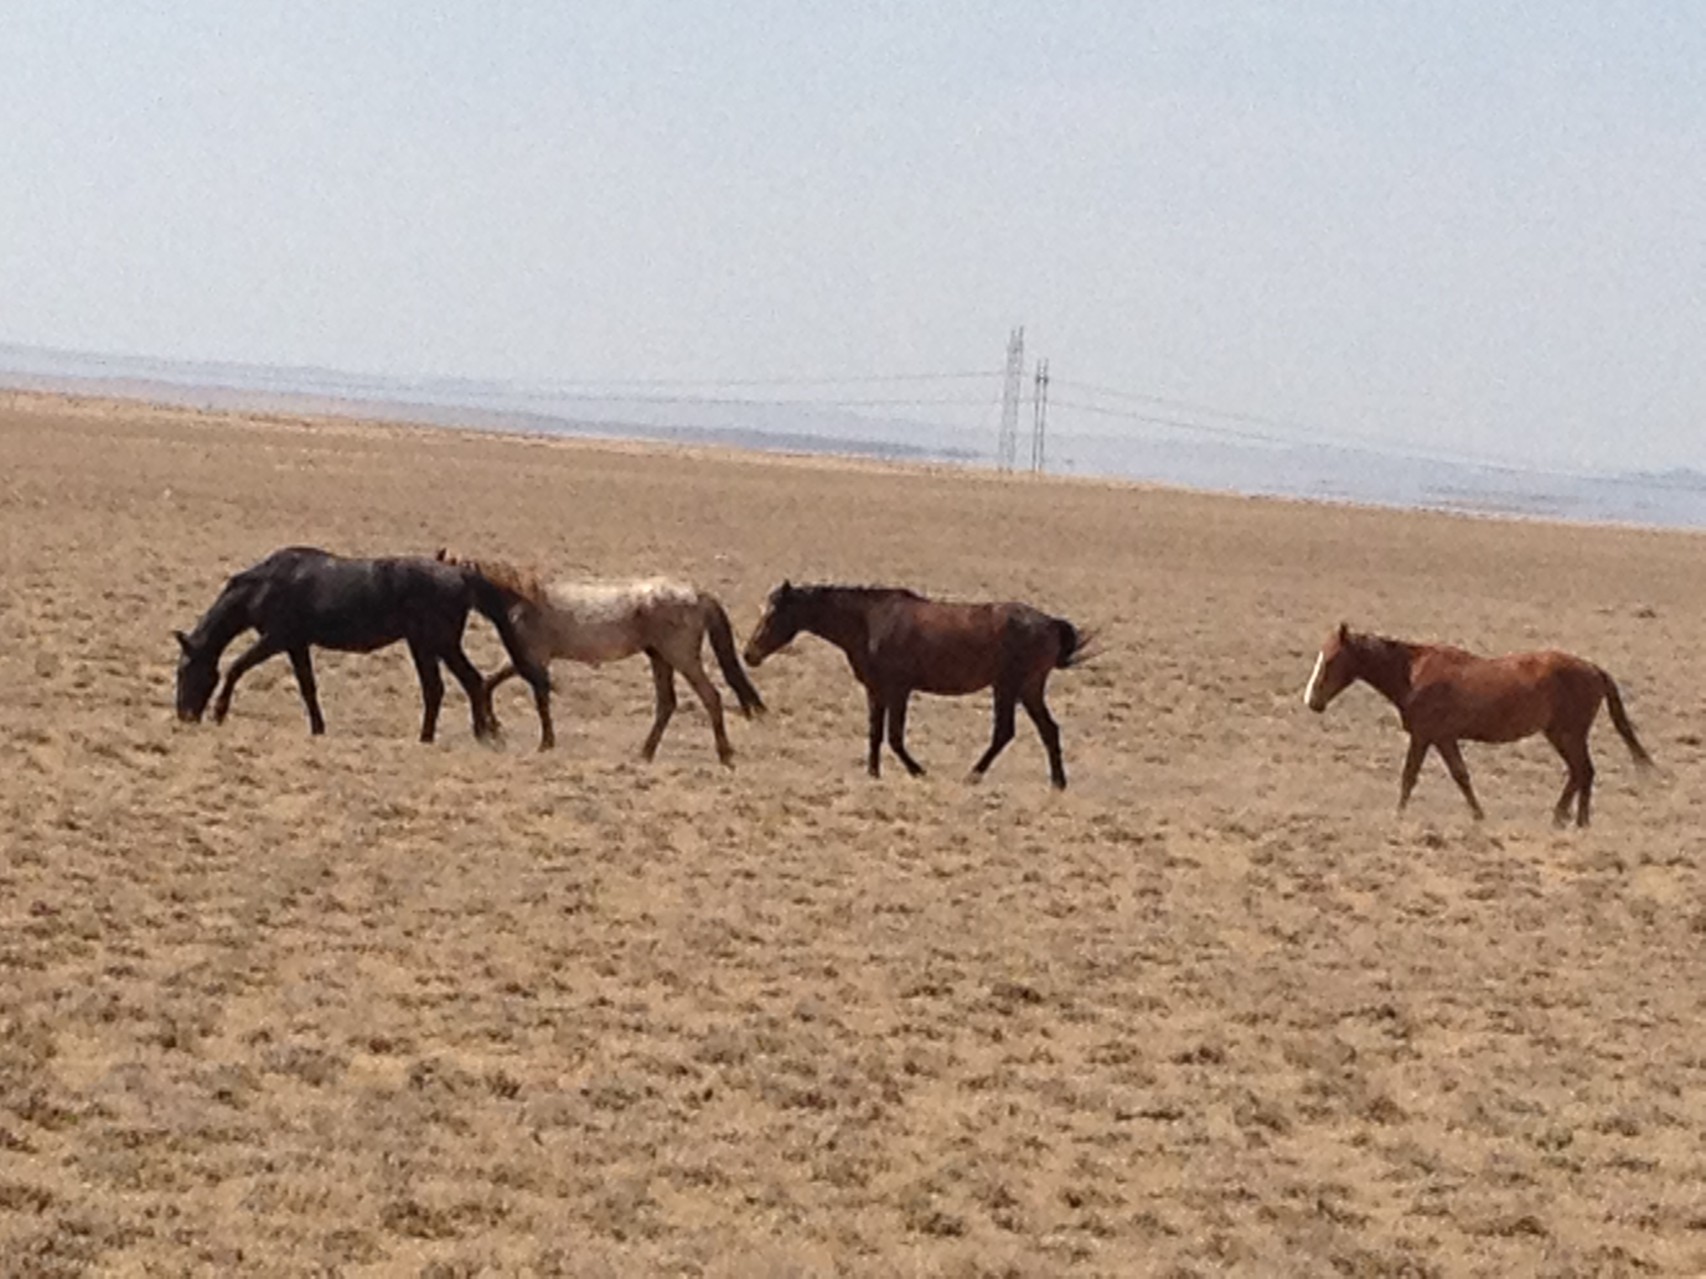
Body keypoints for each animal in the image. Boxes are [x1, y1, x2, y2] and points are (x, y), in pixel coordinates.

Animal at [174, 549, 549, 740]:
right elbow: (308, 686)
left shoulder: (276, 639)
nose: (184, 715)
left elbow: (236, 666)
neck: (265, 584)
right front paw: (318, 728)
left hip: (438, 643)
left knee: (465, 681)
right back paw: (437, 735)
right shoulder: (296, 644)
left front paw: (219, 712)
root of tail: (459, 574)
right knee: (444, 687)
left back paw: (474, 733)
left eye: (184, 672)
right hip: (424, 644)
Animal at [436, 549, 764, 767]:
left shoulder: (535, 661)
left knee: (710, 697)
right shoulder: (524, 661)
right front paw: (496, 729)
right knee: (667, 704)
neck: (519, 601)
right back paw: (644, 754)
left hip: (681, 658)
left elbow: (540, 702)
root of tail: (698, 594)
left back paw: (724, 755)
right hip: (660, 658)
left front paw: (545, 744)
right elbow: (489, 683)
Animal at [740, 583, 1085, 791]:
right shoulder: (876, 691)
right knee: (1048, 730)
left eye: (773, 615)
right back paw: (1058, 783)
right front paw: (873, 773)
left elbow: (894, 737)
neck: (870, 623)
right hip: (1027, 689)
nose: (749, 654)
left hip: (1009, 687)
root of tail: (1051, 623)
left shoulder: (898, 690)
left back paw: (973, 775)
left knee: (1005, 732)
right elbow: (875, 733)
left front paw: (917, 771)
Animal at [1296, 624, 1644, 832]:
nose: (1312, 701)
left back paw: (1574, 821)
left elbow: (1412, 776)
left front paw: (1398, 816)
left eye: (1331, 660)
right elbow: (1460, 776)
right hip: (1560, 735)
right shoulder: (1443, 739)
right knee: (1580, 772)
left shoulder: (1426, 737)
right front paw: (1479, 816)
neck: (1412, 673)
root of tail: (1594, 669)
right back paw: (1567, 820)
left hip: (1568, 735)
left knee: (1583, 771)